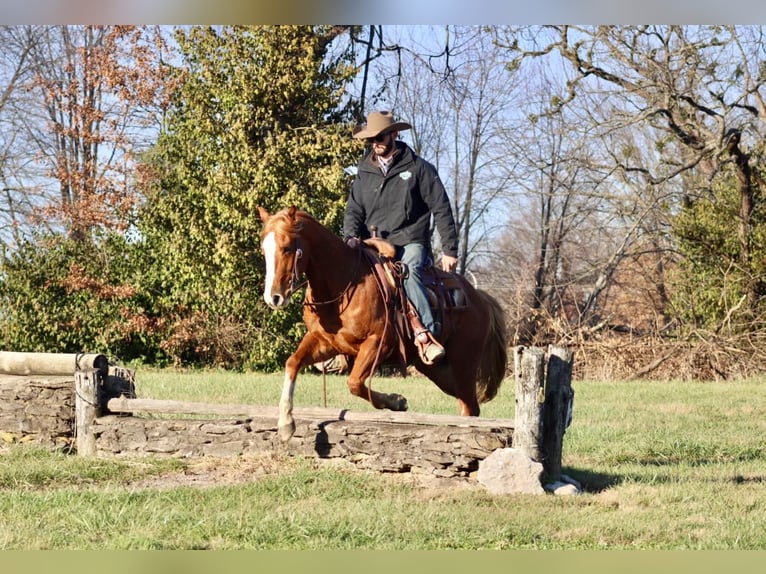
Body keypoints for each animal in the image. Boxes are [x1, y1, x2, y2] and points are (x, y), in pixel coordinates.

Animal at [260, 207, 510, 446]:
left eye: (286, 248)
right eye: (264, 249)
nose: (274, 297)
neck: (344, 282)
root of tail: (479, 297)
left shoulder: (377, 343)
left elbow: (354, 383)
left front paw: (396, 401)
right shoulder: (325, 342)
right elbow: (293, 363)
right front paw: (285, 424)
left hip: (463, 363)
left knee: (470, 406)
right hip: (438, 370)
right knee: (466, 402)